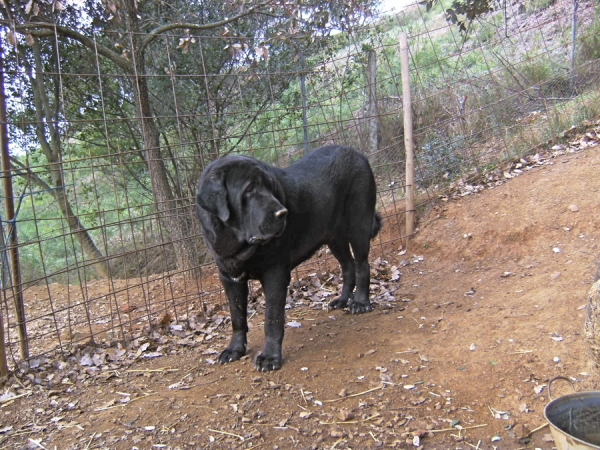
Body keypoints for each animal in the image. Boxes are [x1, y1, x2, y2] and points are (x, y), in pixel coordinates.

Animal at [199, 146, 382, 370]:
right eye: (249, 190)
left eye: (270, 187)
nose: (282, 213)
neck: (236, 241)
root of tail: (357, 153)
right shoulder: (229, 278)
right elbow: (237, 316)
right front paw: (234, 349)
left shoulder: (275, 274)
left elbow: (272, 319)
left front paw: (270, 357)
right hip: (334, 237)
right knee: (348, 266)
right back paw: (342, 300)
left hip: (358, 225)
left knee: (362, 265)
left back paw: (361, 302)